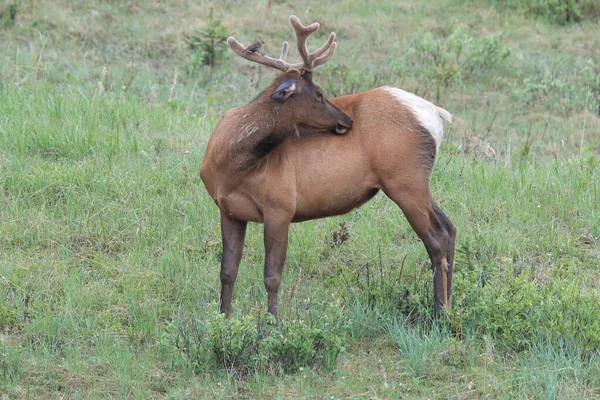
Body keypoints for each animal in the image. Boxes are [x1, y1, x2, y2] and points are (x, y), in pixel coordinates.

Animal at [199, 16, 458, 322]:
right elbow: (227, 271)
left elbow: (272, 276)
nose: (347, 120)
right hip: (415, 182)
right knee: (450, 227)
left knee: (437, 239)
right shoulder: (228, 210)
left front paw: (274, 324)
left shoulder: (280, 206)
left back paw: (441, 313)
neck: (233, 166)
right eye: (320, 94)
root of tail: (436, 115)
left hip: (405, 181)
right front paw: (223, 319)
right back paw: (450, 306)